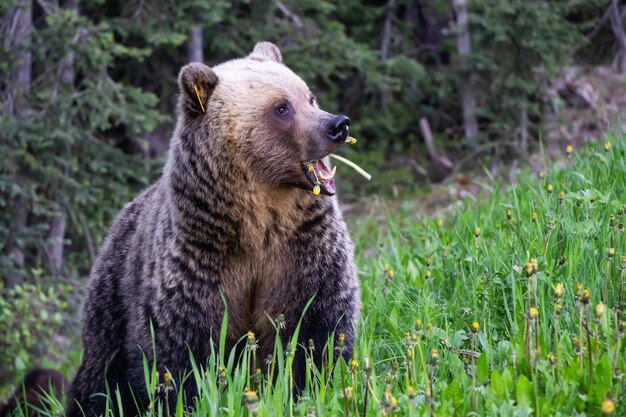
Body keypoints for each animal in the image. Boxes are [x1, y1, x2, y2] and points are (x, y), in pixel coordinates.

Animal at [66, 40, 358, 414]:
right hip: (112, 298)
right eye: (281, 107)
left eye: (309, 96)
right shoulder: (198, 261)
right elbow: (181, 354)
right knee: (100, 376)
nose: (337, 125)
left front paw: (307, 387)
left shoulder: (303, 249)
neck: (259, 222)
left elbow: (316, 329)